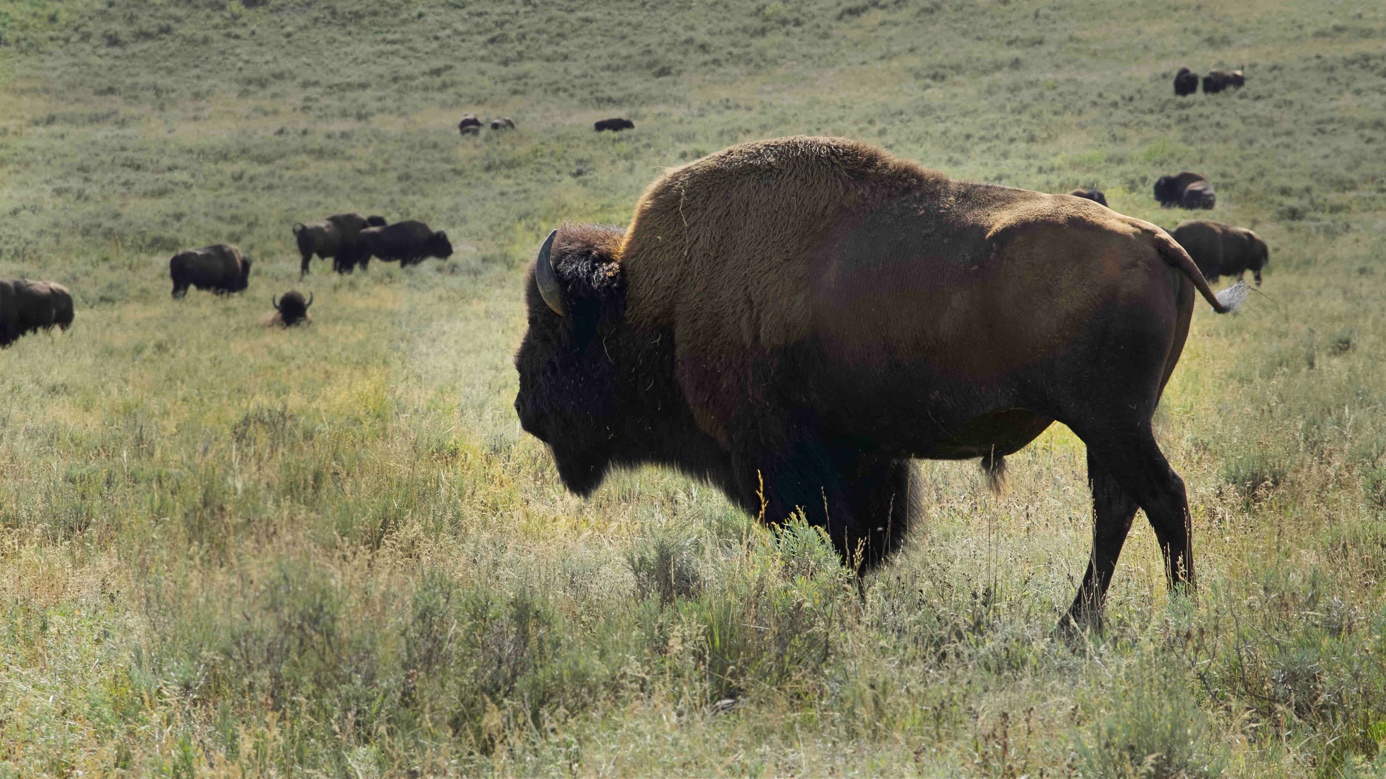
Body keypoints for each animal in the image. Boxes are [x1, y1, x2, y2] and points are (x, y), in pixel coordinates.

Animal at [514, 136, 1247, 629]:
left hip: (1110, 421)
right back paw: (1073, 625)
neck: (655, 299)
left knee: (1161, 498)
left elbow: (829, 536)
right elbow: (865, 539)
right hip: (1107, 426)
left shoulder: (782, 458)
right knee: (1118, 506)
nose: (523, 404)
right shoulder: (863, 453)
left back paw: (1177, 617)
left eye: (552, 336)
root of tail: (1154, 239)